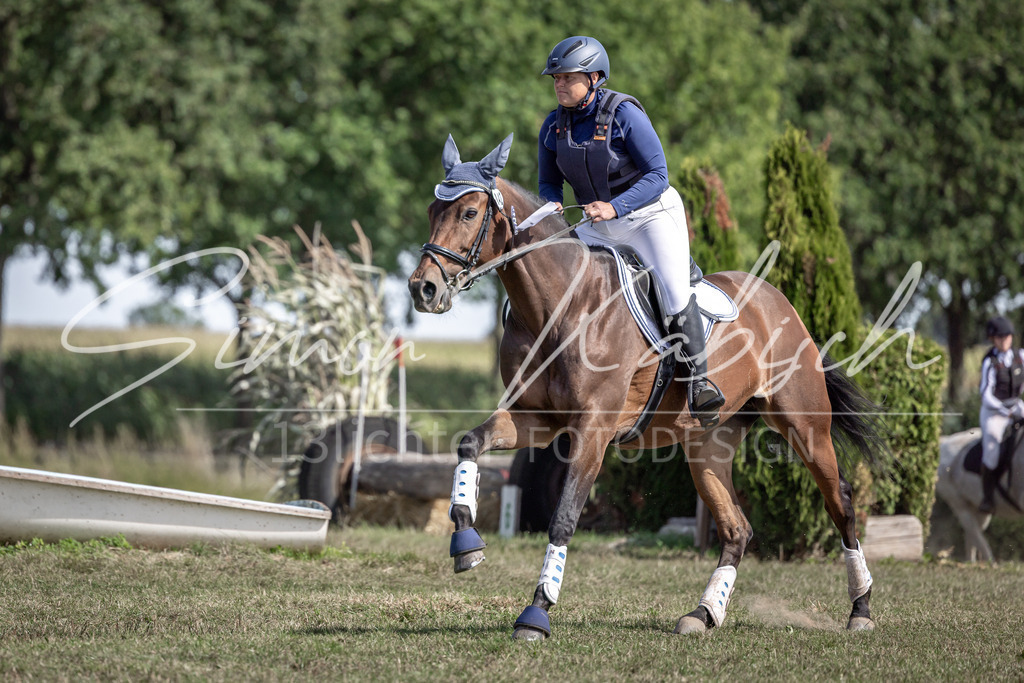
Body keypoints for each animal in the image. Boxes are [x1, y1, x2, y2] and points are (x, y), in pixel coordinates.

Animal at [407, 134, 886, 640]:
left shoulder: (593, 431)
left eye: (468, 213)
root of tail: (780, 302)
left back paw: (860, 609)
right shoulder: (537, 420)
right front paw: (466, 543)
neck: (559, 308)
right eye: (431, 211)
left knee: (842, 505)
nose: (422, 288)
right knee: (736, 528)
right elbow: (469, 443)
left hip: (805, 427)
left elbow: (564, 518)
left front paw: (536, 613)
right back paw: (704, 613)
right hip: (707, 446)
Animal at [936, 421, 1024, 562]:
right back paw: (989, 563)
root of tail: (945, 442)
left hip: (979, 509)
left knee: (972, 535)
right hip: (959, 504)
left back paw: (973, 563)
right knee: (975, 534)